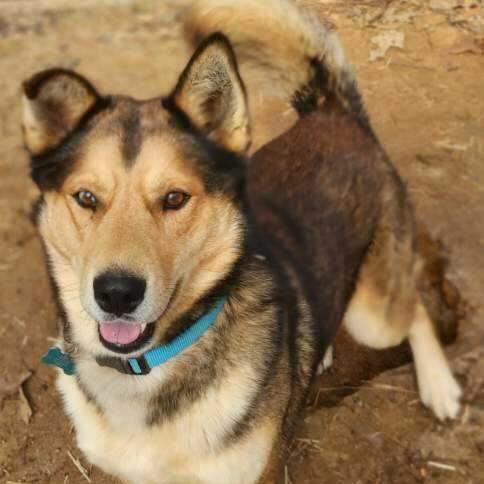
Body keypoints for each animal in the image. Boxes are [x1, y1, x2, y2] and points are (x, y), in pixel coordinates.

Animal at [21, 0, 462, 484]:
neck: (147, 368)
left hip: (374, 317)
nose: (117, 293)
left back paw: (440, 386)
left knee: (414, 308)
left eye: (175, 198)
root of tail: (332, 110)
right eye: (86, 198)